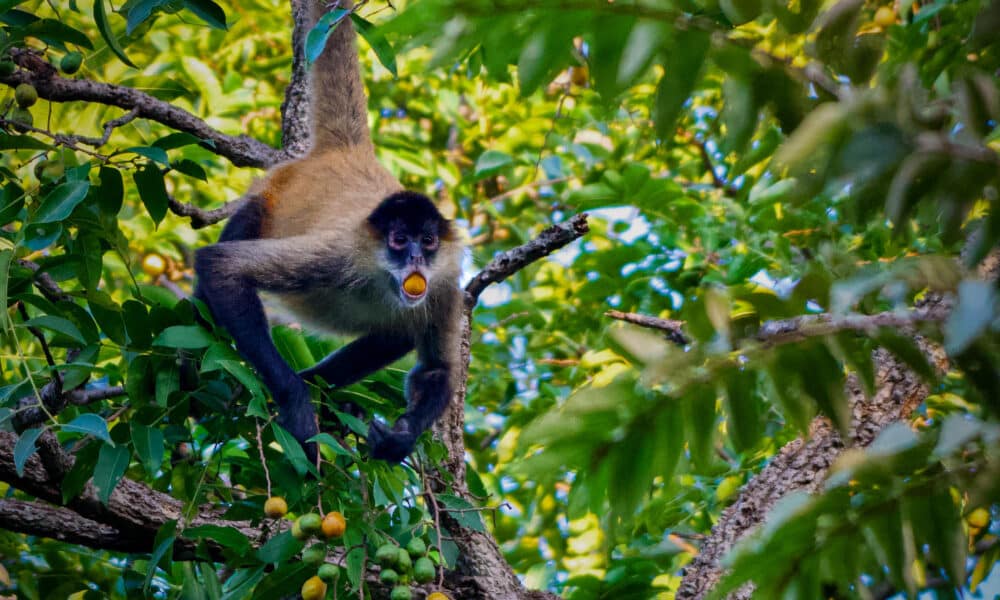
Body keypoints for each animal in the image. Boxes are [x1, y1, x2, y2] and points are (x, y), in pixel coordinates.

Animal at [190, 0, 460, 464]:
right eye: (399, 240)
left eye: (427, 241)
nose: (415, 259)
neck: (382, 279)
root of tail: (348, 153)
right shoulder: (339, 253)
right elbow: (220, 267)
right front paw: (297, 402)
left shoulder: (444, 282)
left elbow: (435, 369)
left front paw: (400, 438)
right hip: (268, 198)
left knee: (396, 332)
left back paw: (324, 390)